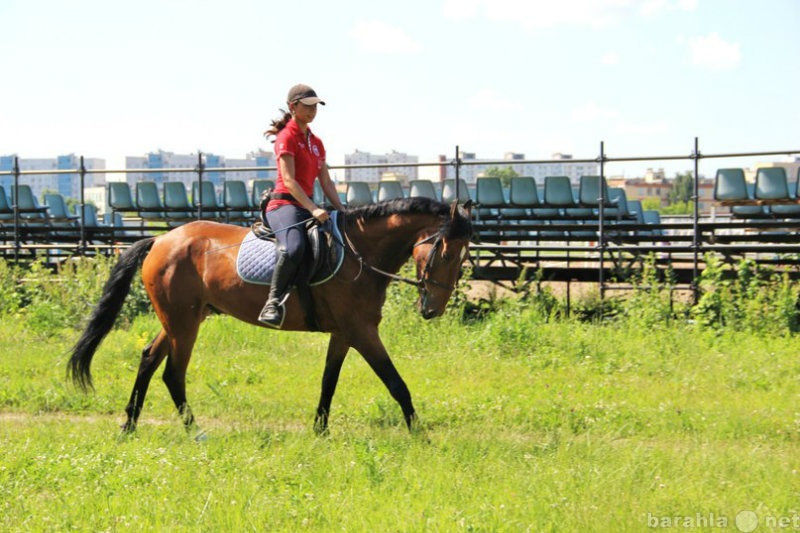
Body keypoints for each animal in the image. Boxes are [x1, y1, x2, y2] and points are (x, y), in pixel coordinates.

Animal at [69, 197, 472, 434]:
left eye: (464, 255)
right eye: (445, 252)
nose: (433, 310)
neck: (359, 253)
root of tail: (161, 239)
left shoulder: (344, 333)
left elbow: (329, 381)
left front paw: (320, 431)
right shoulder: (361, 331)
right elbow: (396, 383)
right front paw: (420, 435)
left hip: (182, 319)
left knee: (149, 359)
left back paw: (129, 425)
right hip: (183, 323)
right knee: (172, 373)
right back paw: (194, 431)